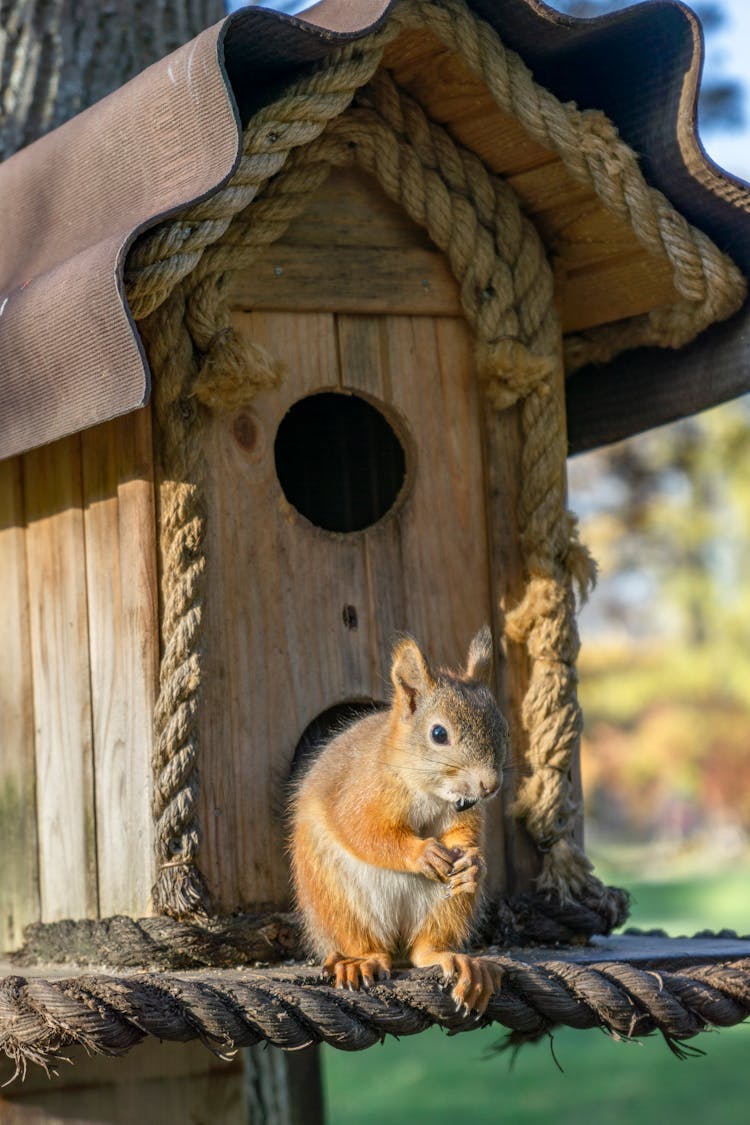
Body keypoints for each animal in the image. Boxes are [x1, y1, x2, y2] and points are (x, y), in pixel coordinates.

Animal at [290, 630, 508, 1017]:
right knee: (367, 945)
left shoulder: (464, 812)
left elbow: (464, 836)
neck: (428, 791)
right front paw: (422, 854)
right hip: (335, 897)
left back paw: (458, 961)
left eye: (504, 728)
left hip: (448, 907)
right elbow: (363, 830)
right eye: (439, 734)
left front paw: (473, 863)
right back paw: (360, 961)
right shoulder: (359, 790)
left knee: (424, 950)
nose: (490, 785)